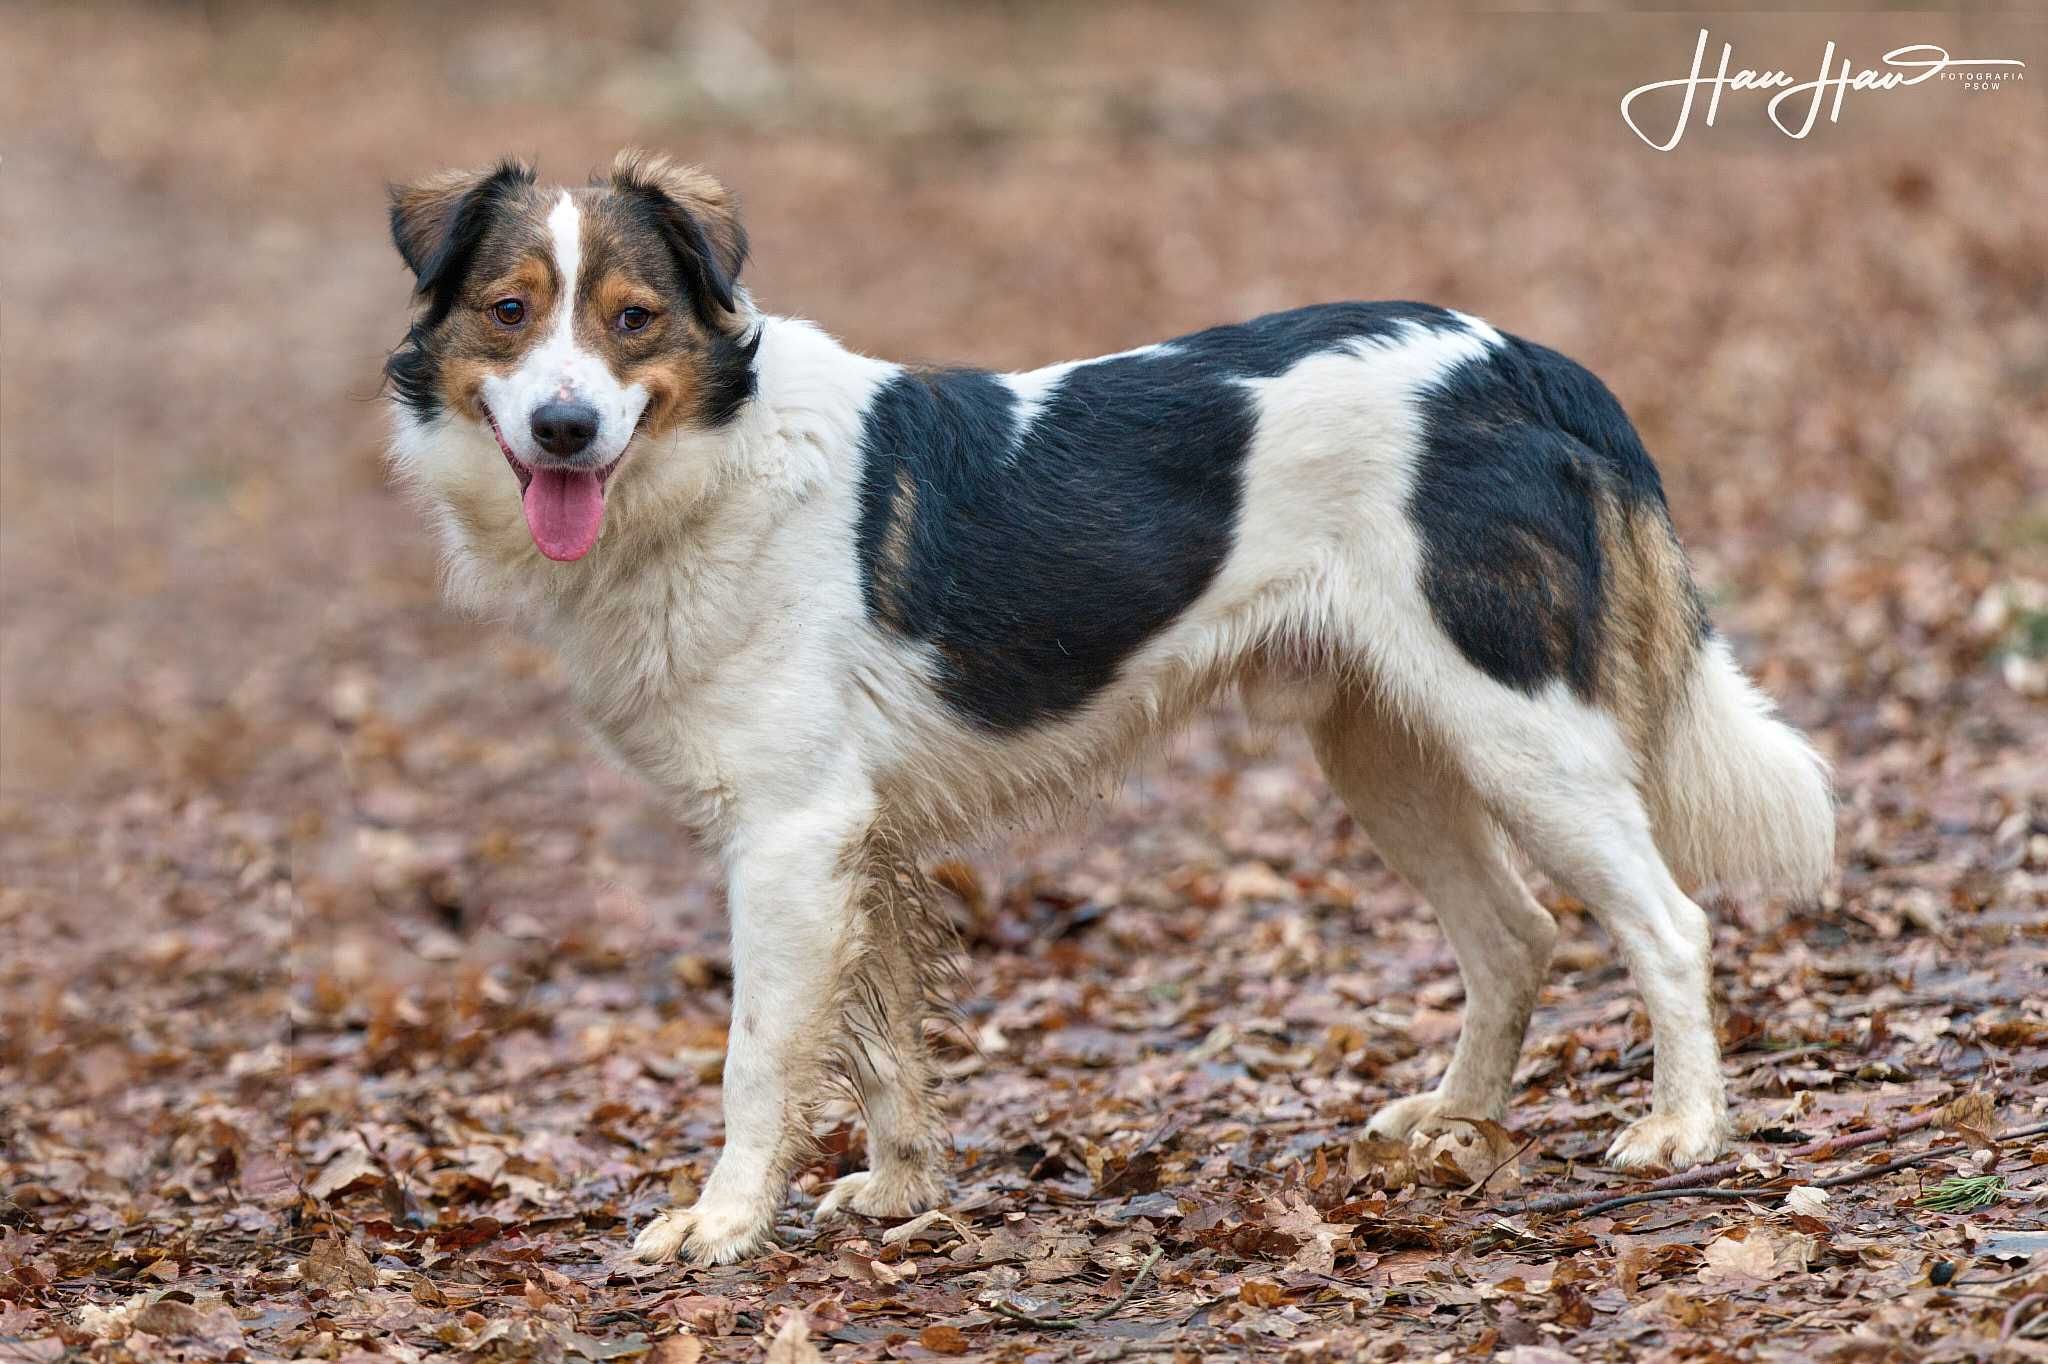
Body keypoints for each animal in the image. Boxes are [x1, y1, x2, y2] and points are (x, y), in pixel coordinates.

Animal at [385, 151, 1843, 1261]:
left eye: (632, 320)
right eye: (509, 311)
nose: (564, 430)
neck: (710, 460)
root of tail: (1525, 361)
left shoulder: (794, 838)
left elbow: (756, 1058)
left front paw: (725, 1225)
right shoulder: (861, 845)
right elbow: (879, 1046)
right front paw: (905, 1191)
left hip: (1521, 725)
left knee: (1667, 924)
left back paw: (1685, 1128)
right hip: (1384, 744)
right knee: (1515, 934)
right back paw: (1455, 1122)